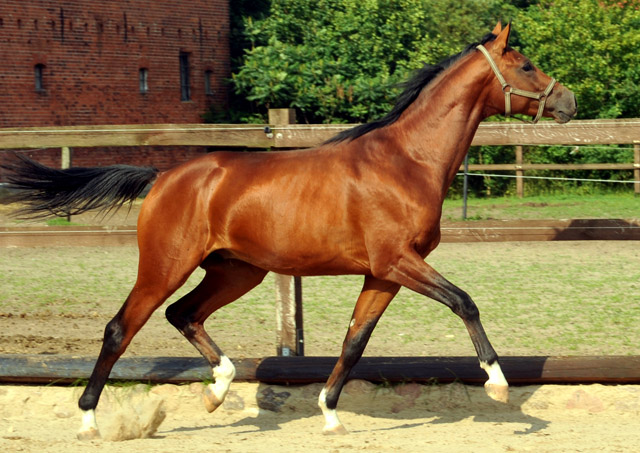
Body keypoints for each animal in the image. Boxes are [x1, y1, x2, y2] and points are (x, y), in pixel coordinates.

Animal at [3, 22, 576, 438]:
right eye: (525, 64)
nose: (568, 102)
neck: (407, 161)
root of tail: (163, 176)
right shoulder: (398, 261)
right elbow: (464, 302)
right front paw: (498, 384)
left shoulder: (383, 274)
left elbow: (354, 342)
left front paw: (329, 413)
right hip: (166, 264)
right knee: (121, 328)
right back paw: (89, 421)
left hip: (237, 272)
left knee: (183, 314)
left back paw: (217, 390)